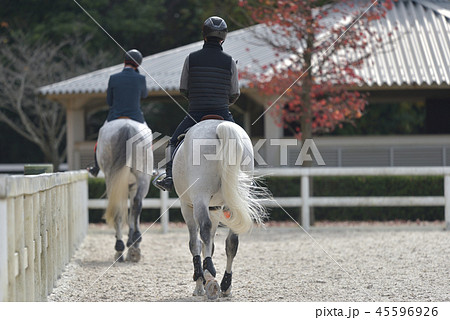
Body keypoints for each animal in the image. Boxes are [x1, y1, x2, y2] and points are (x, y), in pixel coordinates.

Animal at [96, 119, 153, 262]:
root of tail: (127, 126)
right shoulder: (132, 187)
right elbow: (132, 213)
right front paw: (131, 243)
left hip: (113, 180)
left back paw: (120, 247)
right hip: (142, 179)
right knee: (137, 204)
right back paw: (134, 242)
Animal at [172, 119, 268, 298]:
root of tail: (219, 126)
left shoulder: (187, 205)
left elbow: (195, 243)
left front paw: (199, 283)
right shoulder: (215, 208)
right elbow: (209, 245)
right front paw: (204, 281)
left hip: (200, 195)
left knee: (204, 229)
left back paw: (209, 273)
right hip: (233, 200)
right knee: (232, 241)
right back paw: (225, 285)